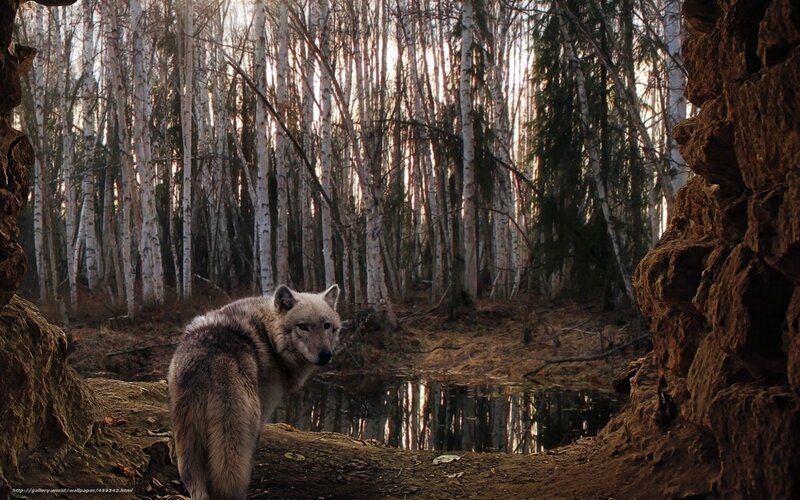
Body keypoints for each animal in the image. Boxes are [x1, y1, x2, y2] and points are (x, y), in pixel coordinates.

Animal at [167, 284, 342, 500]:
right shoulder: (262, 416)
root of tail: (212, 356)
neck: (270, 337)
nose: (326, 355)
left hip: (187, 440)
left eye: (326, 325)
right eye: (303, 326)